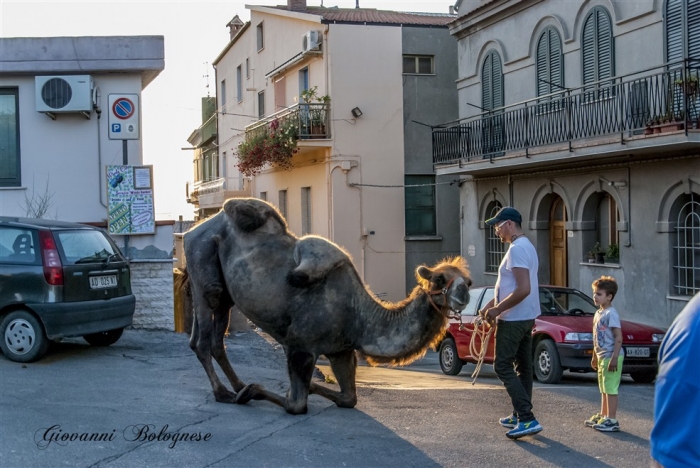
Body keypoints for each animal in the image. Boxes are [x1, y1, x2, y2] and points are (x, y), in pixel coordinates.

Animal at [183, 197, 474, 414]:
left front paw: (305, 388)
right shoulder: (300, 346)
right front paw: (257, 391)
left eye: (468, 282)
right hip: (202, 256)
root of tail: (192, 230)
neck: (357, 315)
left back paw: (237, 386)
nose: (464, 296)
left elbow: (349, 398)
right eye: (440, 278)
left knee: (216, 336)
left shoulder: (341, 350)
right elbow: (296, 406)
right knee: (203, 331)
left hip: (224, 290)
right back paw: (224, 393)